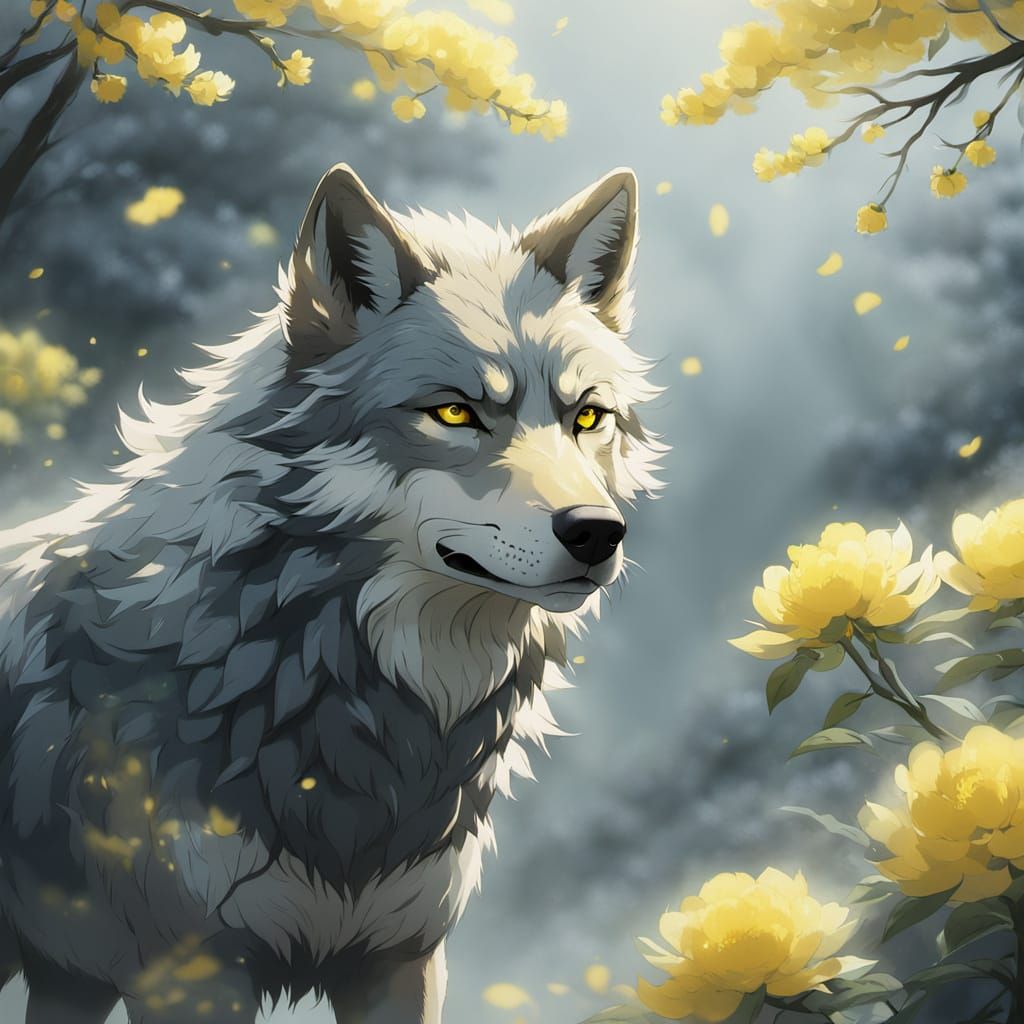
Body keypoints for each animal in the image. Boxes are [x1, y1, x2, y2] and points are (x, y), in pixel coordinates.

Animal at [0, 163, 663, 1023]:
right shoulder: (190, 976)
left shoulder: (400, 959)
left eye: (587, 417)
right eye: (455, 412)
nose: (597, 533)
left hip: (67, 976)